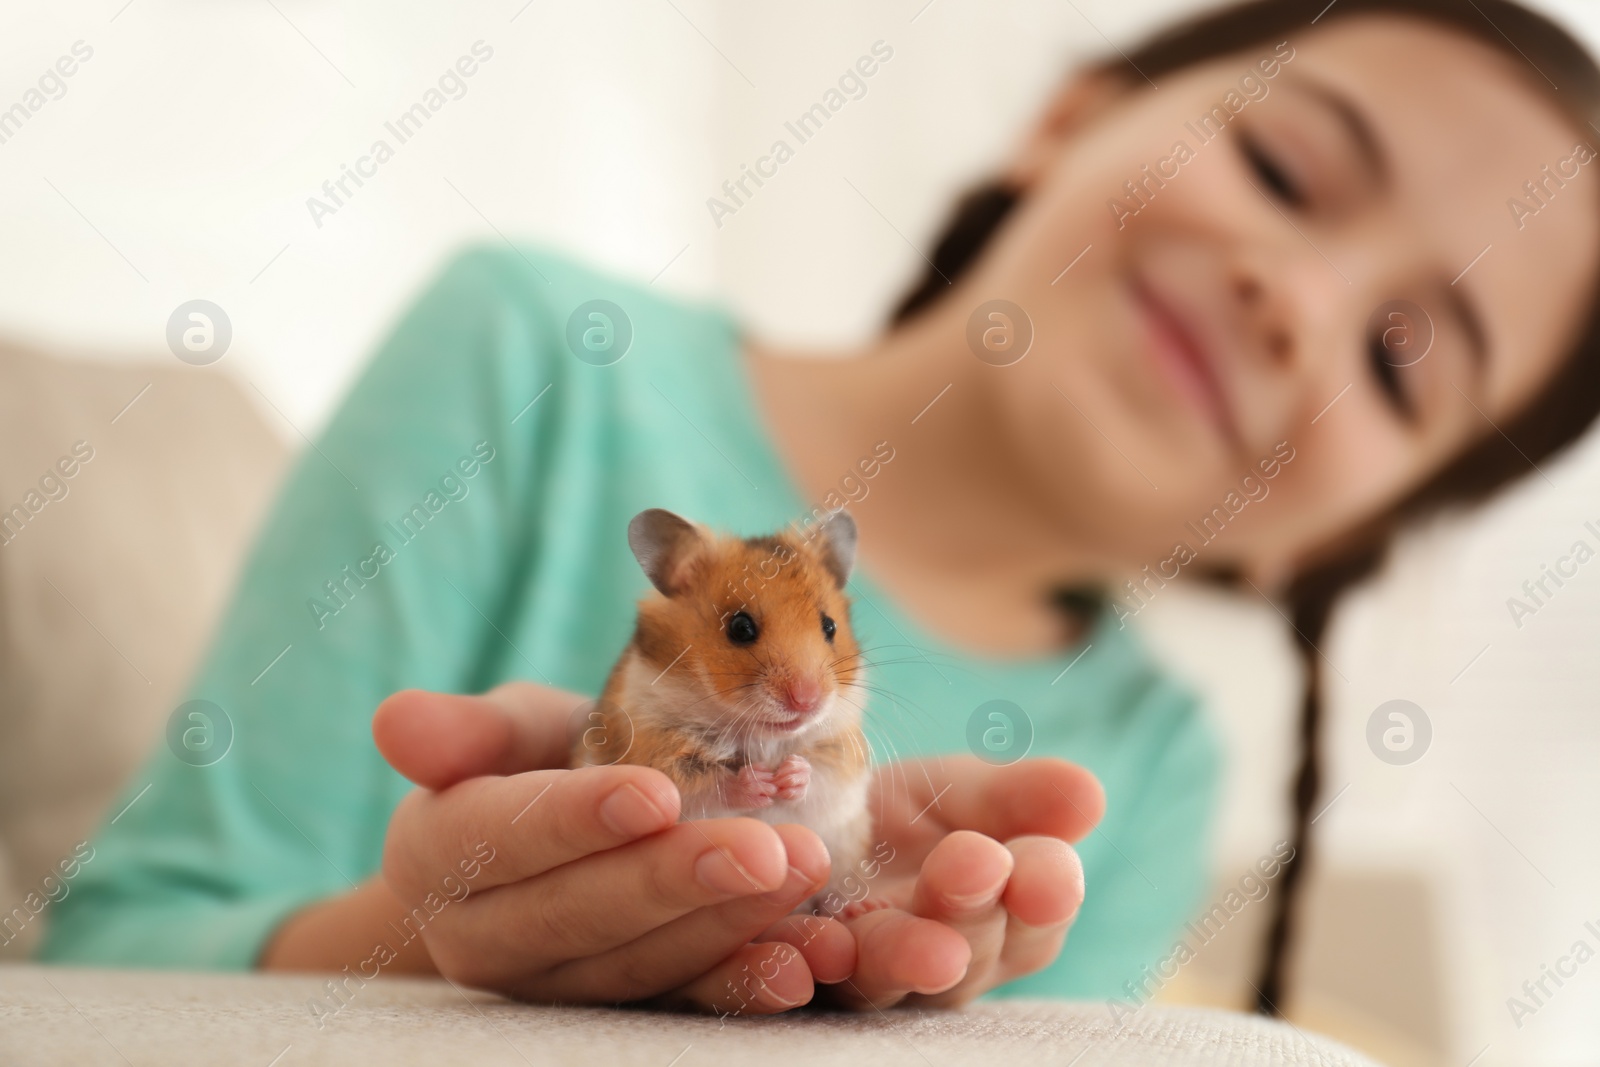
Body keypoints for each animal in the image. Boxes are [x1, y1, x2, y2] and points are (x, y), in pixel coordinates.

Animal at [576, 505, 876, 915]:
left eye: (829, 626)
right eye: (740, 627)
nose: (806, 700)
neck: (761, 734)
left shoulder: (843, 751)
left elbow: (820, 771)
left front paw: (788, 776)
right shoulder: (654, 747)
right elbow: (707, 783)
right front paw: (761, 783)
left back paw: (856, 907)